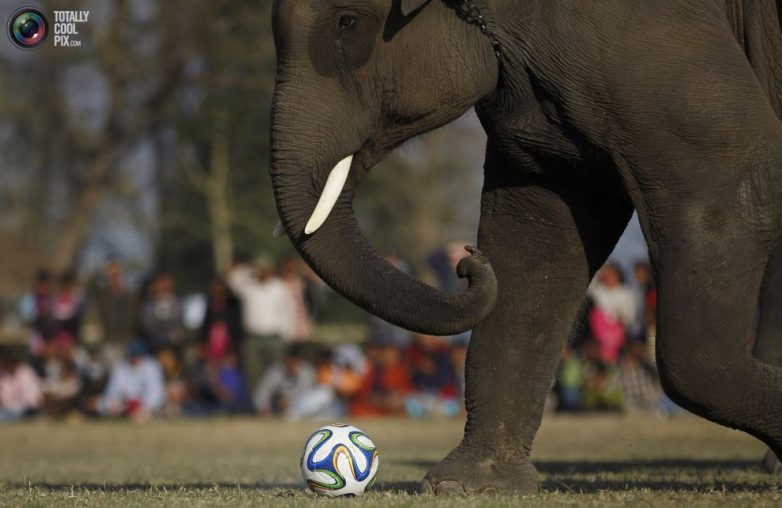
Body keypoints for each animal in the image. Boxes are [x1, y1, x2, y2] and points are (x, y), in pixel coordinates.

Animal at [270, 0, 782, 494]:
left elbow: (730, 186)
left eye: (348, 22)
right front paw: (468, 485)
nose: (467, 261)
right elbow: (539, 232)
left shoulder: (647, 36)